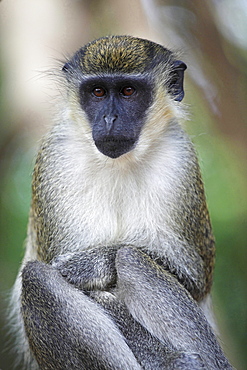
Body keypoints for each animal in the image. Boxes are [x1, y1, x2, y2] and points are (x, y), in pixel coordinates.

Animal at [8, 35, 233, 370]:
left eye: (128, 91)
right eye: (98, 92)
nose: (110, 119)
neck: (119, 164)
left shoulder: (181, 160)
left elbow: (194, 280)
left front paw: (92, 264)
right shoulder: (54, 160)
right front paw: (168, 360)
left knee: (130, 258)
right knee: (37, 279)